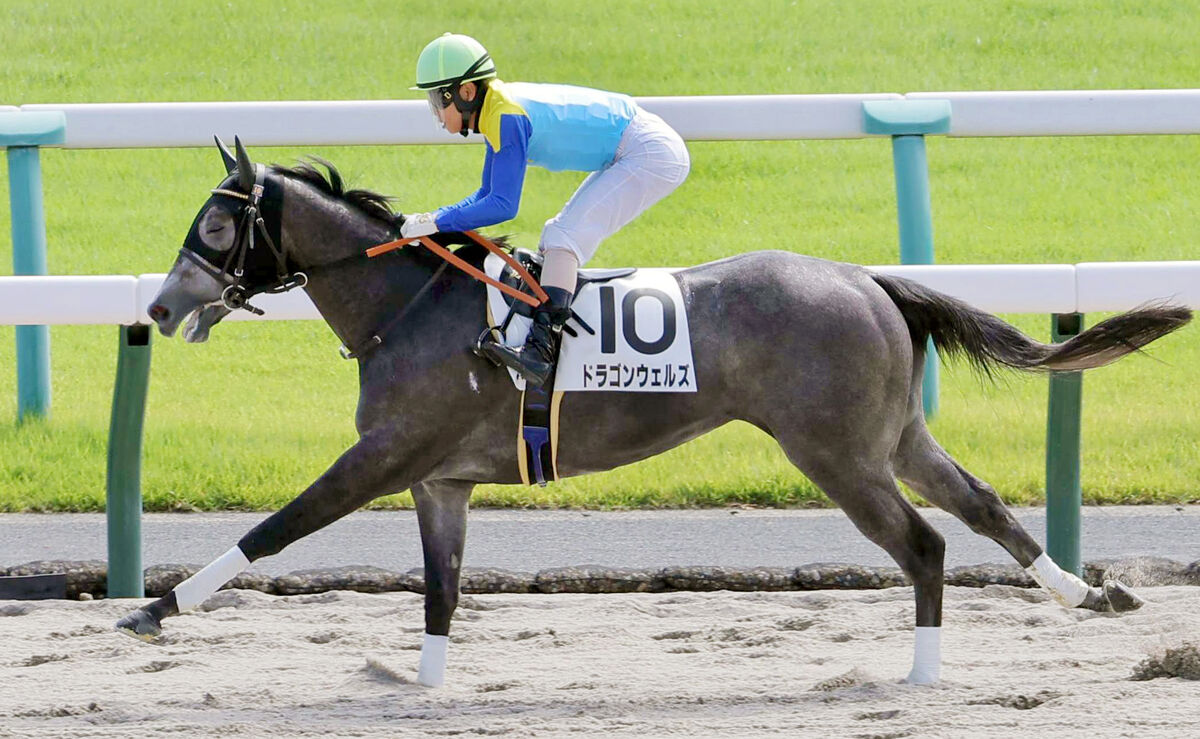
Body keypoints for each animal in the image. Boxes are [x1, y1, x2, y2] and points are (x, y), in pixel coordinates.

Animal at [117, 139, 1185, 686]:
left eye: (216, 224)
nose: (160, 307)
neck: (408, 307)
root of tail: (868, 278)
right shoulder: (439, 479)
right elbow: (441, 590)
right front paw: (420, 682)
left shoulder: (389, 453)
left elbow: (277, 528)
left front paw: (155, 607)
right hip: (896, 436)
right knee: (985, 505)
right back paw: (1089, 593)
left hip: (836, 452)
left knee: (924, 544)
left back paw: (921, 675)